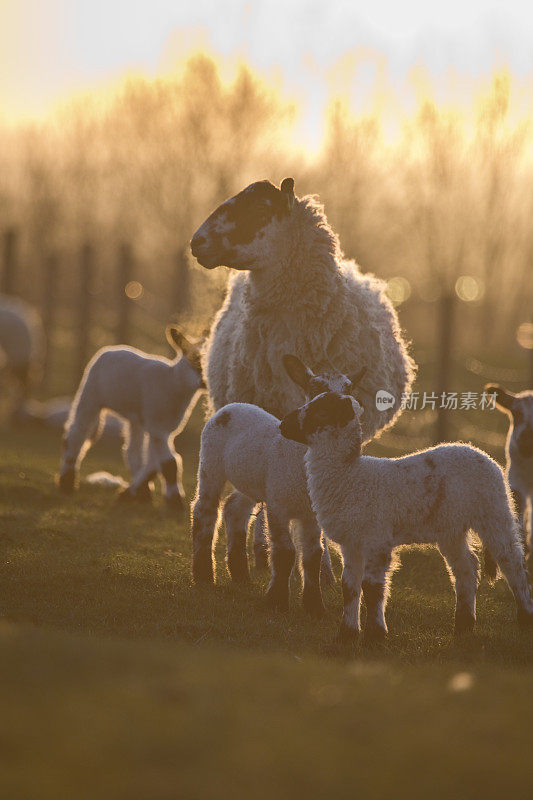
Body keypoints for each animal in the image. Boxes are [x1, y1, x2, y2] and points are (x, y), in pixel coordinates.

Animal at [59, 324, 205, 506]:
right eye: (195, 359)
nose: (204, 381)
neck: (173, 383)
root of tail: (110, 348)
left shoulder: (164, 426)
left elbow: (156, 461)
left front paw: (134, 492)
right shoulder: (157, 424)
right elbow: (170, 463)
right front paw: (175, 501)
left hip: (135, 417)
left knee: (132, 451)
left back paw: (143, 492)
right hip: (90, 393)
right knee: (77, 434)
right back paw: (67, 483)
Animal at [190, 354, 362, 612]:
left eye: (349, 388)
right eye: (316, 390)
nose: (347, 407)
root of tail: (234, 406)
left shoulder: (309, 515)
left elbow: (313, 556)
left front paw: (314, 607)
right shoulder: (278, 507)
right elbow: (285, 552)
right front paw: (277, 600)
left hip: (253, 481)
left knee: (234, 508)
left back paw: (240, 574)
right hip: (211, 462)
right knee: (205, 510)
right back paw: (203, 575)